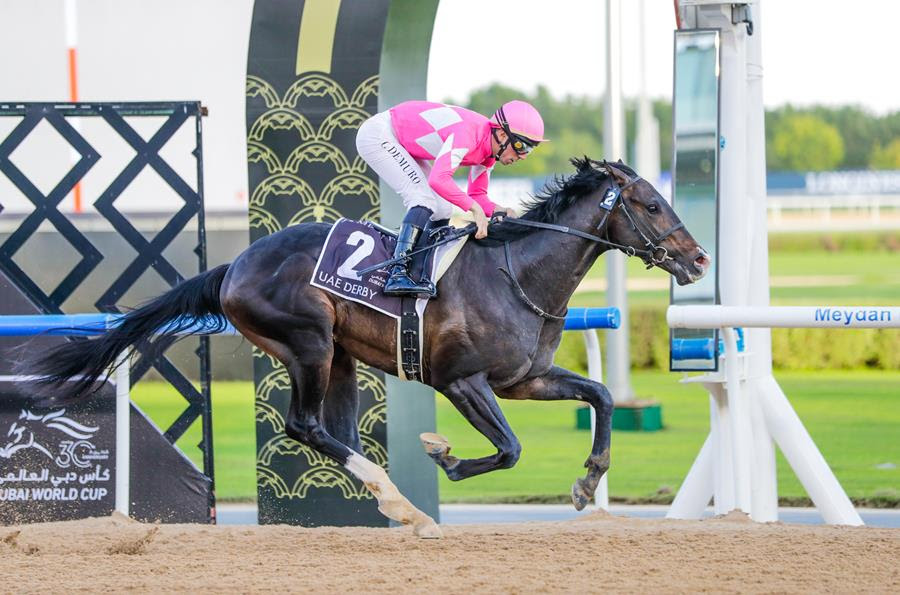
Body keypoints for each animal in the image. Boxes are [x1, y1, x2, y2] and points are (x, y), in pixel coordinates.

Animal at [22, 158, 709, 538]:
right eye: (652, 203)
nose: (700, 259)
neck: (516, 271)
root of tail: (233, 267)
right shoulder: (463, 382)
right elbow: (510, 449)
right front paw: (446, 458)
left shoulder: (523, 380)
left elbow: (600, 395)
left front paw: (587, 481)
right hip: (308, 343)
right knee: (305, 426)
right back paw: (404, 504)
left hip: (342, 356)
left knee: (338, 431)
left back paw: (396, 502)